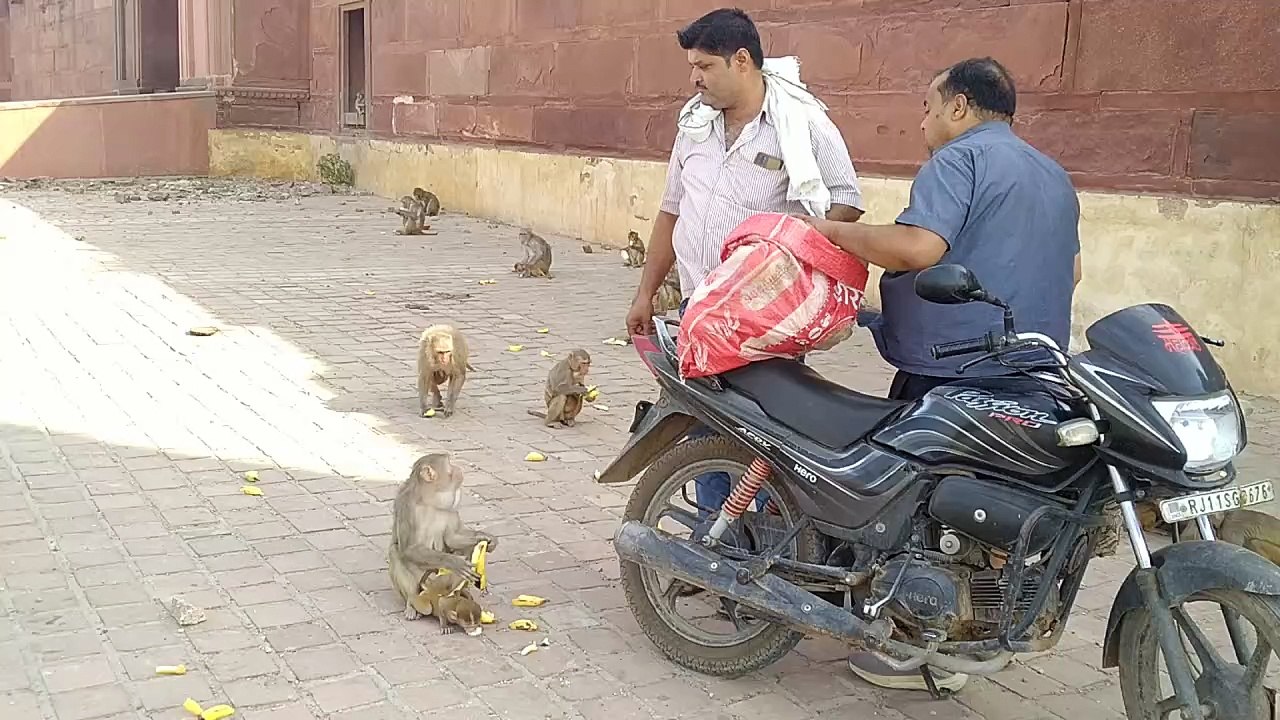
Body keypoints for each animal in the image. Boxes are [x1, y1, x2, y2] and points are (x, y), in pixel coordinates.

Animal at [388, 453, 497, 621]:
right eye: (450, 464)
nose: (458, 467)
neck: (429, 499)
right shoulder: (408, 507)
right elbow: (409, 548)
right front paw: (454, 562)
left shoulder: (451, 507)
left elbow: (452, 538)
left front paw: (485, 539)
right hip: (422, 582)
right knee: (395, 552)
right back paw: (412, 605)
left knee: (466, 550)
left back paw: (459, 593)